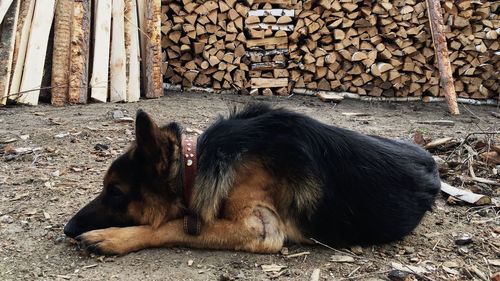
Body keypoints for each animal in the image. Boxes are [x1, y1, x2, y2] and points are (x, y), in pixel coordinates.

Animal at [64, 103, 440, 254]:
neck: (197, 165)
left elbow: (172, 227)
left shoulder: (259, 228)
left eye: (115, 191)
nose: (67, 229)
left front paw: (113, 238)